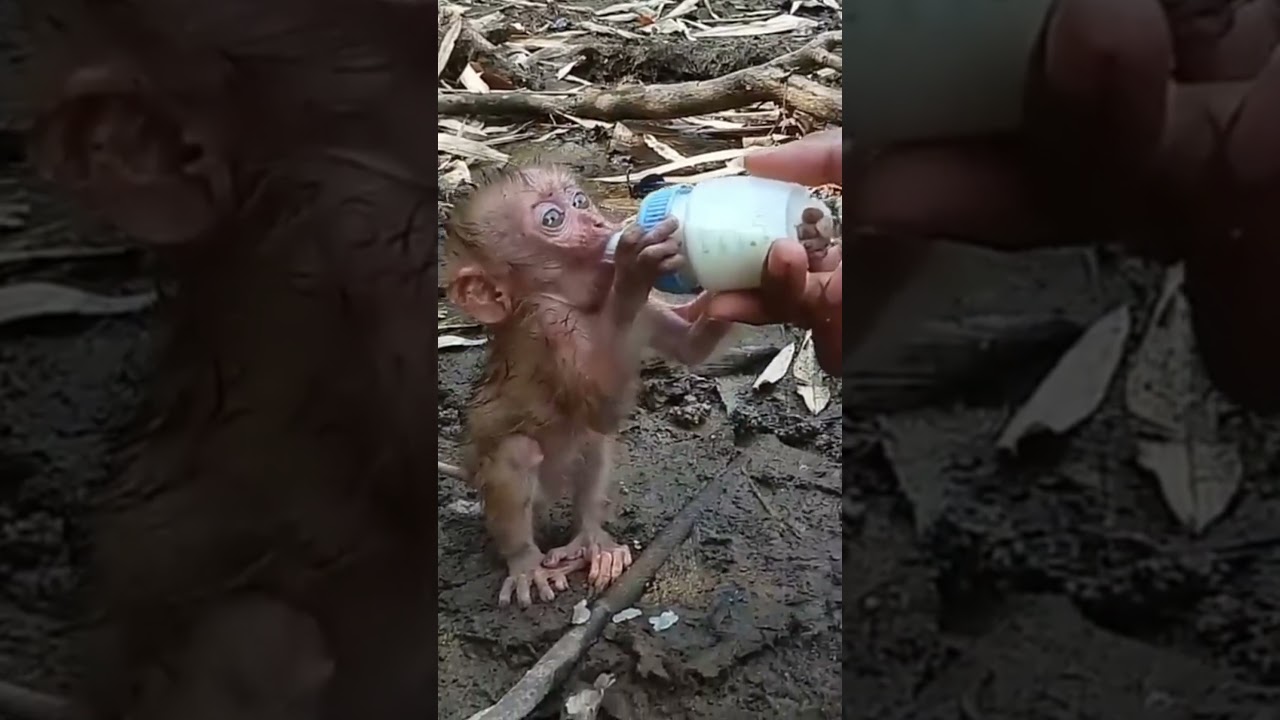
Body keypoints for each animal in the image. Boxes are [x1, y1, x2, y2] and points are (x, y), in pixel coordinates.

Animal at [440, 166, 832, 608]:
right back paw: (525, 562)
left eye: (579, 201)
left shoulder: (646, 313)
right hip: (496, 477)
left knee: (594, 443)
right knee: (518, 453)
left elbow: (689, 348)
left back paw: (591, 540)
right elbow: (600, 405)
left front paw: (812, 233)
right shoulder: (549, 322)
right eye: (553, 219)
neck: (589, 306)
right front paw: (633, 269)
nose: (600, 225)